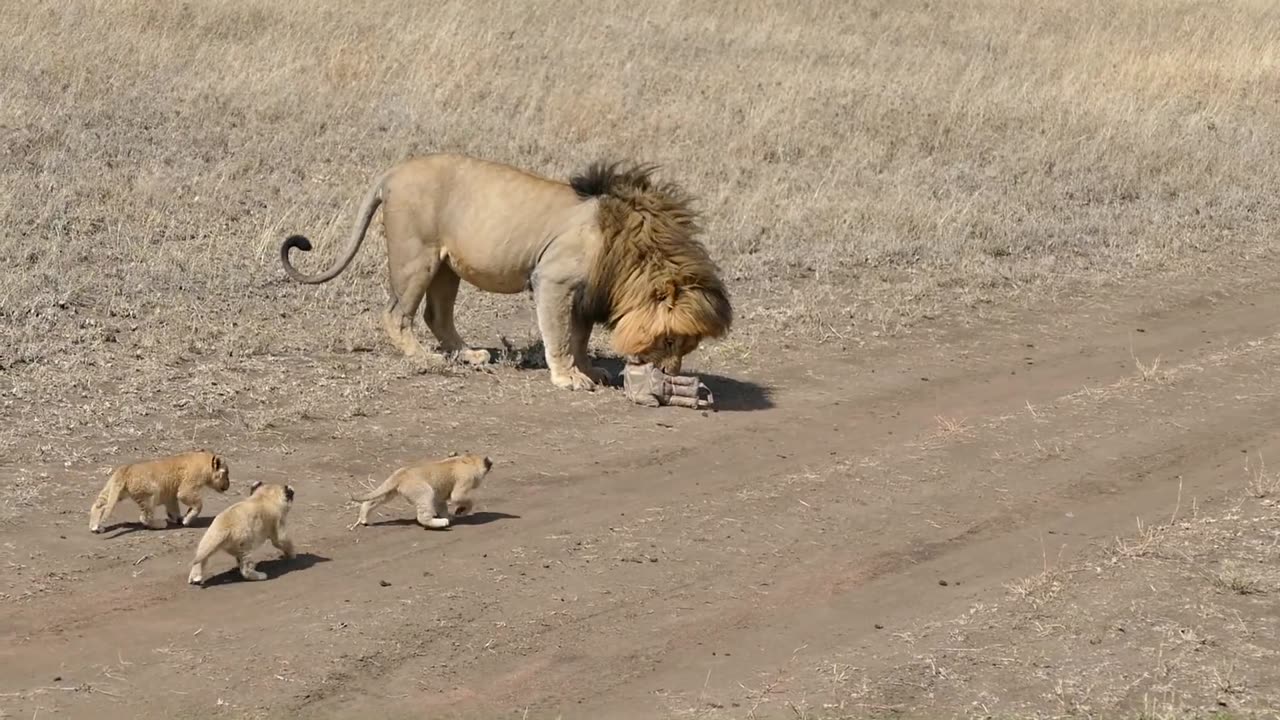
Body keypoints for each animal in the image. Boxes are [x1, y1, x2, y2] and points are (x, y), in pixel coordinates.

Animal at [285, 151, 737, 386]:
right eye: (670, 341)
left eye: (685, 347)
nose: (670, 376)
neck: (632, 250)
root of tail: (393, 172)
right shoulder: (553, 280)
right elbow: (559, 336)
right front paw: (569, 377)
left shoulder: (584, 293)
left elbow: (579, 336)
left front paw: (589, 369)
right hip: (417, 257)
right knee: (396, 315)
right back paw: (424, 358)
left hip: (447, 266)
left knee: (436, 316)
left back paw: (468, 355)